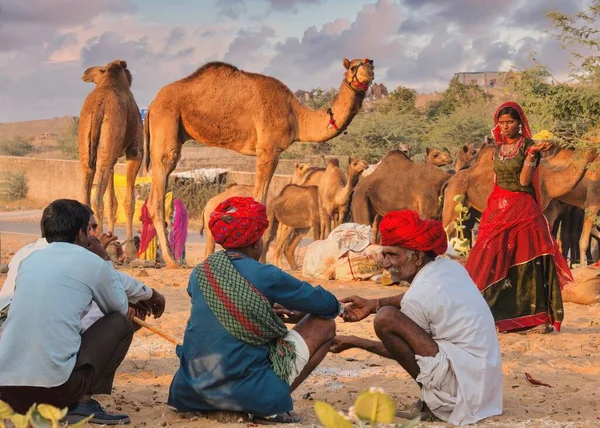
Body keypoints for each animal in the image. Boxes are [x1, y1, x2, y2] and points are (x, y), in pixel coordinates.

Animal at [77, 59, 143, 260]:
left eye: (100, 69)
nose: (86, 72)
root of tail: (99, 106)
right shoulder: (135, 151)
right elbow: (129, 201)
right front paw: (130, 252)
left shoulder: (113, 154)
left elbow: (112, 202)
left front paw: (114, 249)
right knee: (97, 198)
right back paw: (98, 242)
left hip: (88, 144)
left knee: (88, 184)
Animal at [144, 59, 372, 268]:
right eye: (354, 66)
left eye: (370, 63)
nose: (368, 71)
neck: (296, 115)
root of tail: (151, 104)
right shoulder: (268, 150)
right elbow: (260, 200)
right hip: (166, 122)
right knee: (159, 189)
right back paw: (171, 260)